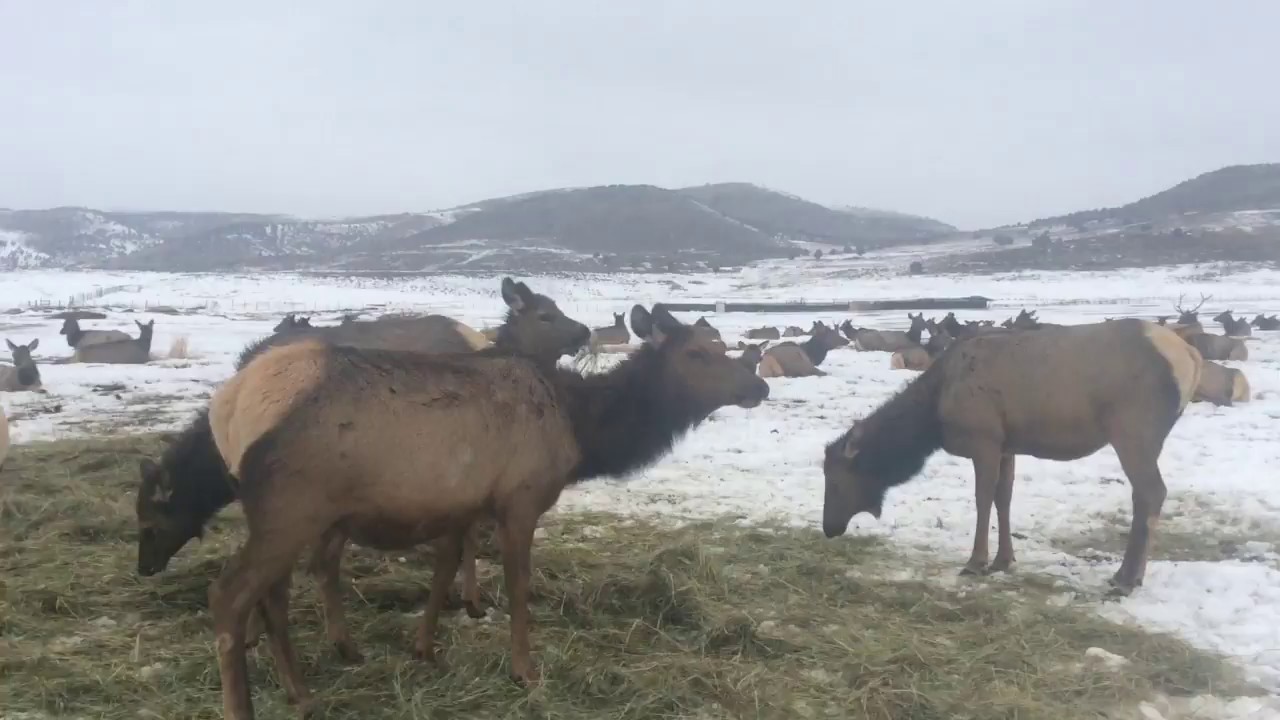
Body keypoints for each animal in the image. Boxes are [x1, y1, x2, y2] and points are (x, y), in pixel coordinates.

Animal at [200, 304, 768, 718]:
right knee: (230, 593)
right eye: (697, 353)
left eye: (723, 345)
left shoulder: (460, 504)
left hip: (286, 515)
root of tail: (226, 406)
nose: (758, 385)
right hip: (293, 506)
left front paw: (424, 648)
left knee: (272, 594)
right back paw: (243, 706)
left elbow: (444, 570)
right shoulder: (520, 498)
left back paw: (300, 692)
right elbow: (518, 586)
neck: (581, 429)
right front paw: (524, 670)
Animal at [823, 318, 1202, 597]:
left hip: (1132, 430)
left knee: (1152, 492)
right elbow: (1003, 498)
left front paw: (976, 562)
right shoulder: (1007, 445)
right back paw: (1128, 574)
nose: (828, 528)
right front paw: (1004, 560)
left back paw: (1126, 579)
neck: (932, 416)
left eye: (837, 481)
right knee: (1146, 494)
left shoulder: (984, 439)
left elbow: (982, 499)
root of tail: (1190, 356)